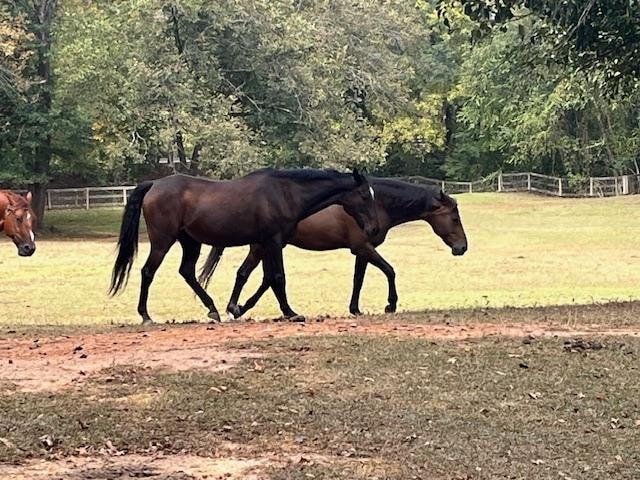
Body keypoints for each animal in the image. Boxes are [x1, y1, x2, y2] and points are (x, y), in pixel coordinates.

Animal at [109, 168, 380, 325]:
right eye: (365, 195)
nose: (373, 229)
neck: (284, 193)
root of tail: (154, 184)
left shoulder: (266, 244)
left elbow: (263, 277)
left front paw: (237, 308)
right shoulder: (272, 241)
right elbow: (278, 277)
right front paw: (290, 312)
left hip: (191, 242)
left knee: (187, 272)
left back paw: (213, 310)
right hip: (162, 241)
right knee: (148, 272)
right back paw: (145, 315)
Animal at [199, 178, 467, 318]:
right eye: (454, 218)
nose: (462, 247)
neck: (377, 204)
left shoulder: (361, 251)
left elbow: (358, 280)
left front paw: (355, 309)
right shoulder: (363, 247)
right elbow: (390, 271)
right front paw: (390, 304)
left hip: (269, 248)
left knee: (261, 278)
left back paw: (241, 307)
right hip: (262, 247)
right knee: (248, 274)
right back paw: (236, 308)